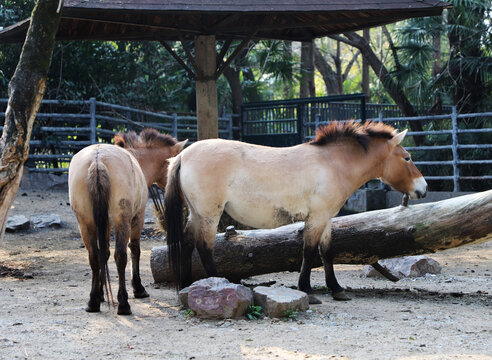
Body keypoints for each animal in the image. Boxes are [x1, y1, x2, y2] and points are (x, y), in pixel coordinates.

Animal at [70, 128, 187, 314]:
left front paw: (101, 293)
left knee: (94, 256)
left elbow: (104, 253)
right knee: (121, 256)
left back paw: (93, 301)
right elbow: (135, 250)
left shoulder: (105, 224)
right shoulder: (137, 218)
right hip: (122, 221)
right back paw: (123, 303)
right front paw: (138, 288)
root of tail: (97, 160)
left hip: (86, 223)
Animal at [165, 121, 426, 300]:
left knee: (187, 243)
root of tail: (182, 156)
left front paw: (336, 289)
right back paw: (221, 282)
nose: (423, 188)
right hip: (210, 214)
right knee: (204, 247)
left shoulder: (326, 218)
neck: (333, 164)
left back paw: (187, 286)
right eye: (407, 157)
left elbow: (327, 252)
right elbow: (309, 252)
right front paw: (307, 290)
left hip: (196, 214)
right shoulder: (317, 218)